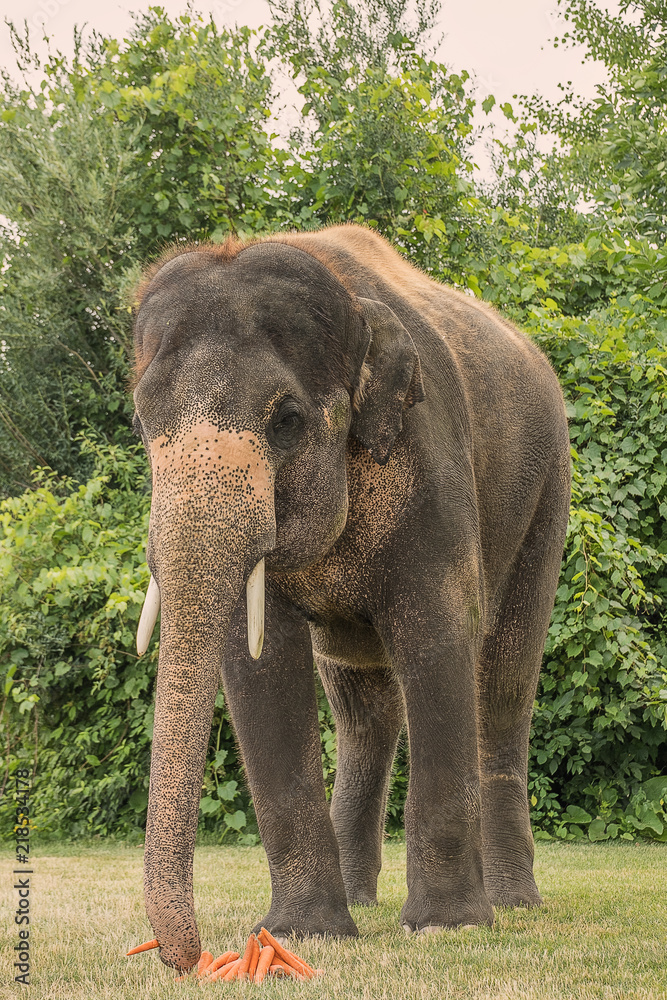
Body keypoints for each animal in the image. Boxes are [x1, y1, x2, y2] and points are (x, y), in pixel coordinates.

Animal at [130, 223, 570, 970]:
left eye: (286, 419)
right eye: (140, 421)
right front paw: (304, 934)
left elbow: (439, 633)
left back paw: (512, 905)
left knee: (506, 679)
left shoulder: (431, 466)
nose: (188, 958)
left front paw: (446, 929)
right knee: (362, 704)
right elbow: (259, 668)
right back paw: (362, 902)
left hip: (548, 495)